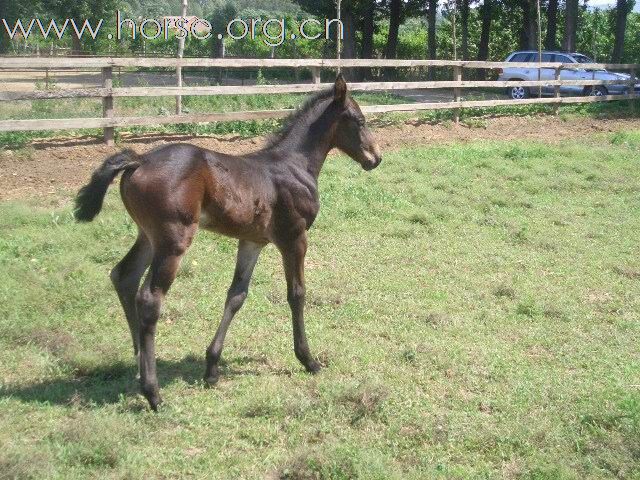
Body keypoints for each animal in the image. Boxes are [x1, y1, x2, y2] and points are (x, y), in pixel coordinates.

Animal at [77, 75, 382, 408]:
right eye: (359, 120)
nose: (376, 158)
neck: (293, 165)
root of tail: (139, 160)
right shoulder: (294, 238)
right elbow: (297, 294)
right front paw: (308, 360)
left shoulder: (252, 241)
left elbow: (236, 295)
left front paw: (211, 368)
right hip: (173, 240)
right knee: (149, 298)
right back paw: (153, 392)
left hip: (148, 235)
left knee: (124, 276)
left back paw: (138, 367)